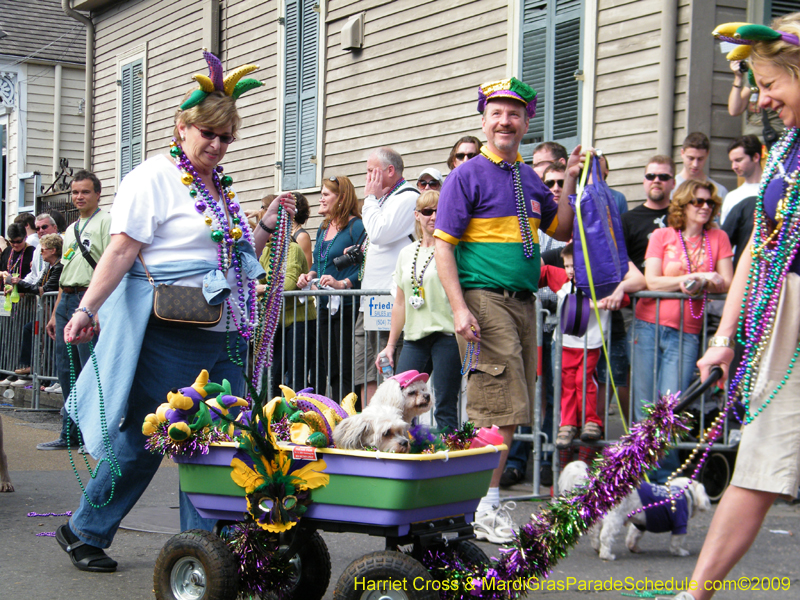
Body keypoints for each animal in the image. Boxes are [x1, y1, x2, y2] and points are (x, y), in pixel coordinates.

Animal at [560, 460, 708, 564]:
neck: (683, 491)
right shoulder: (679, 524)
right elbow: (676, 542)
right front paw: (680, 552)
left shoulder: (640, 523)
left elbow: (633, 536)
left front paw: (634, 548)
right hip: (614, 519)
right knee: (606, 537)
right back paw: (607, 555)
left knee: (594, 533)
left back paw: (597, 548)